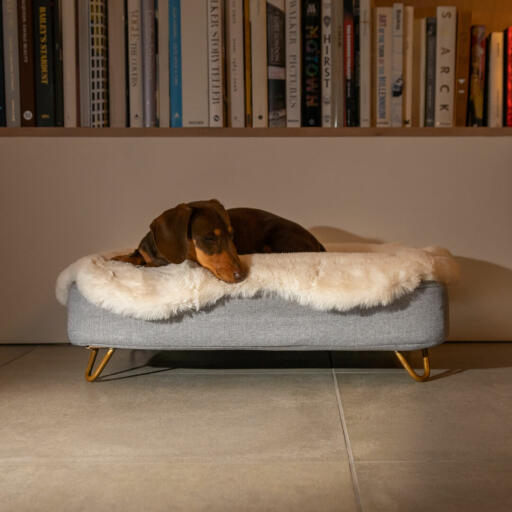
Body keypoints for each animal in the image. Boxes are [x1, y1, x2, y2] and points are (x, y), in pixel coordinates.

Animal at [114, 199, 326, 284]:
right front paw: (117, 259)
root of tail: (317, 242)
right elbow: (132, 257)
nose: (241, 276)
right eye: (209, 237)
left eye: (232, 236)